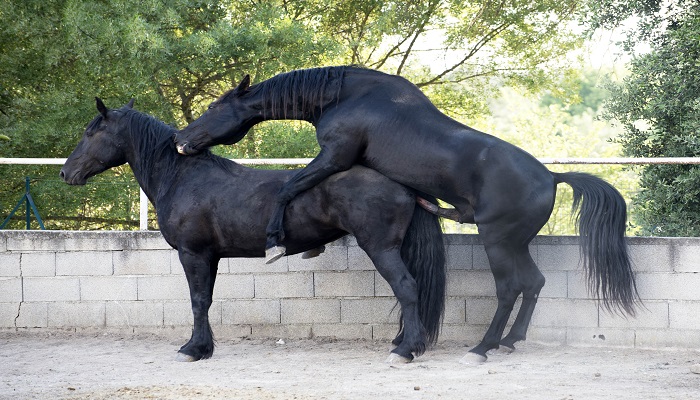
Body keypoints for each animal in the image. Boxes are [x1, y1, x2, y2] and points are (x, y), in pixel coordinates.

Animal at [60, 98, 446, 363]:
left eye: (91, 133)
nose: (66, 173)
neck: (184, 177)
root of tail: (399, 181)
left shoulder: (192, 253)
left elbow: (197, 300)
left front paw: (192, 349)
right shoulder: (211, 256)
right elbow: (206, 299)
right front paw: (204, 347)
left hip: (381, 248)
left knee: (407, 287)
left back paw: (406, 351)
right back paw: (402, 342)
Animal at [173, 65, 640, 363]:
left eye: (214, 108)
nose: (181, 139)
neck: (347, 95)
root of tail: (552, 177)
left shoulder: (334, 157)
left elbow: (289, 187)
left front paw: (277, 240)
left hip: (497, 243)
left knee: (510, 288)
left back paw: (482, 348)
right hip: (515, 244)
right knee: (533, 283)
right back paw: (509, 341)